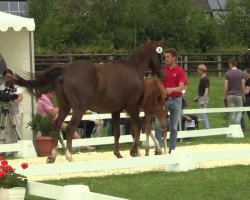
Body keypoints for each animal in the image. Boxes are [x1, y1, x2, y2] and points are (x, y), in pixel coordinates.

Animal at [15, 40, 164, 162]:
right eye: (161, 55)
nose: (162, 73)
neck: (132, 67)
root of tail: (65, 69)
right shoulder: (132, 107)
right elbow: (139, 126)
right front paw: (135, 151)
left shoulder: (116, 110)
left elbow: (117, 132)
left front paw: (118, 154)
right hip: (78, 109)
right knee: (70, 128)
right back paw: (69, 156)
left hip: (64, 107)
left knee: (57, 125)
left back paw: (52, 156)